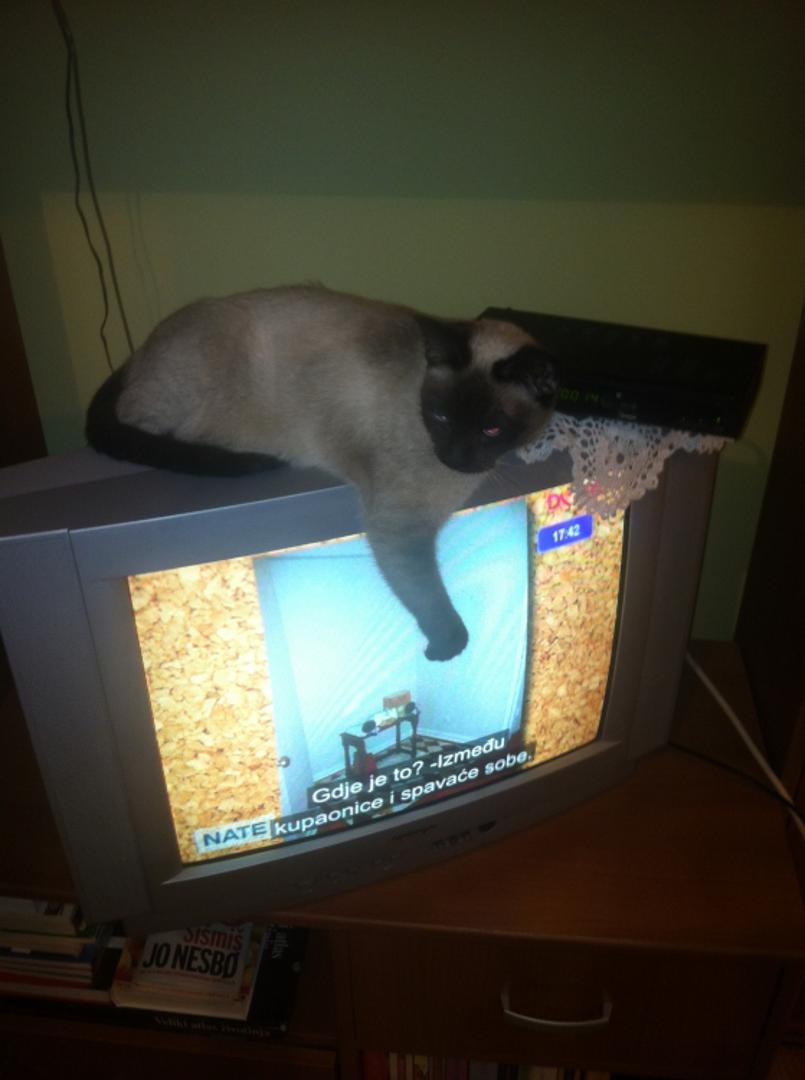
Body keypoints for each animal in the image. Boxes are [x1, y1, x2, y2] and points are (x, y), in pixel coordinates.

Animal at [86, 285, 557, 661]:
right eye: (441, 417)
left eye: (491, 429)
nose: (455, 457)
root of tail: (137, 353)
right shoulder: (400, 529)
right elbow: (427, 594)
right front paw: (446, 646)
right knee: (144, 428)